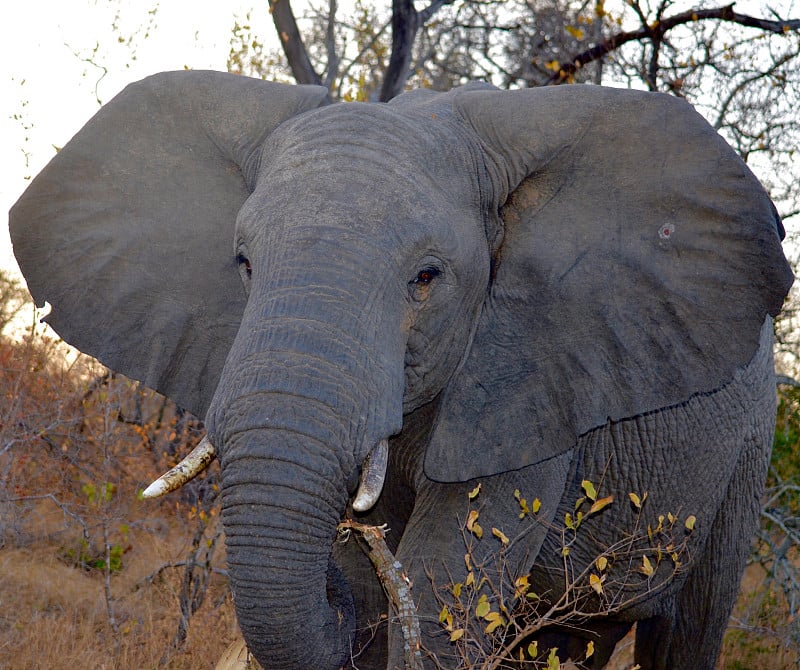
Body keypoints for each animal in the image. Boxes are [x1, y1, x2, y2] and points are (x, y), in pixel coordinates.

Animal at [10, 71, 792, 668]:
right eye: (244, 264)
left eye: (426, 277)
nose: (341, 558)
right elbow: (380, 598)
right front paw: (363, 567)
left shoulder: (527, 379)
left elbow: (445, 585)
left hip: (745, 457)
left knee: (689, 628)